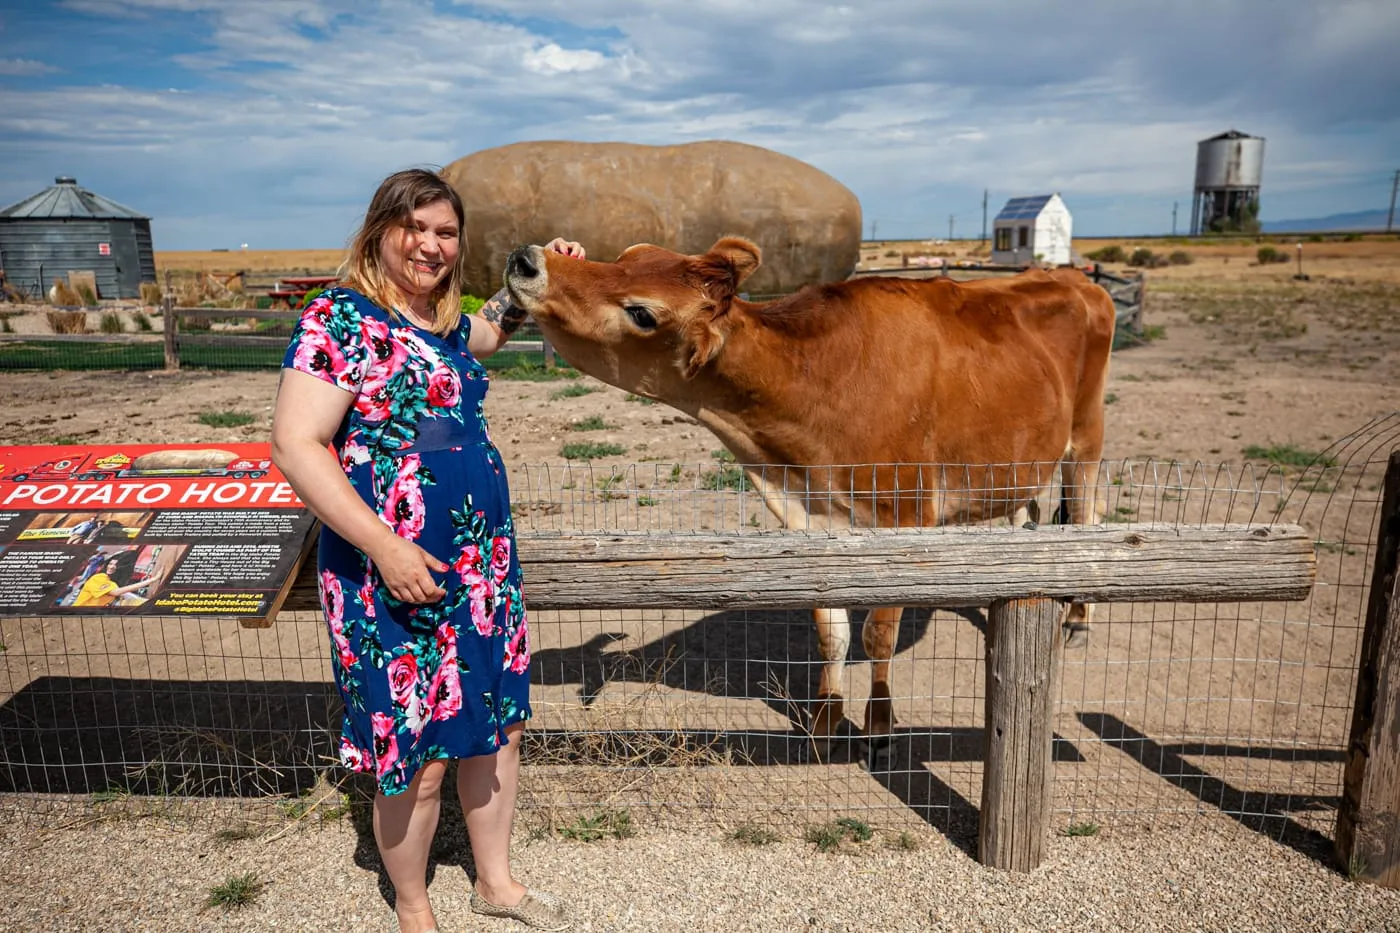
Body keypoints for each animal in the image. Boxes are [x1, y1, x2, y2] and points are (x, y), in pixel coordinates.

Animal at [504, 236, 1114, 762]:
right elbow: (831, 631)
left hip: (1084, 436)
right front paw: (824, 720)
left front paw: (878, 725)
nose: (528, 258)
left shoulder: (903, 516)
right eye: (629, 255)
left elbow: (877, 634)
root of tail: (1072, 278)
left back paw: (1078, 618)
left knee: (1084, 510)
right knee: (1027, 514)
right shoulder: (810, 521)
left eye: (643, 314)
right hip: (1017, 462)